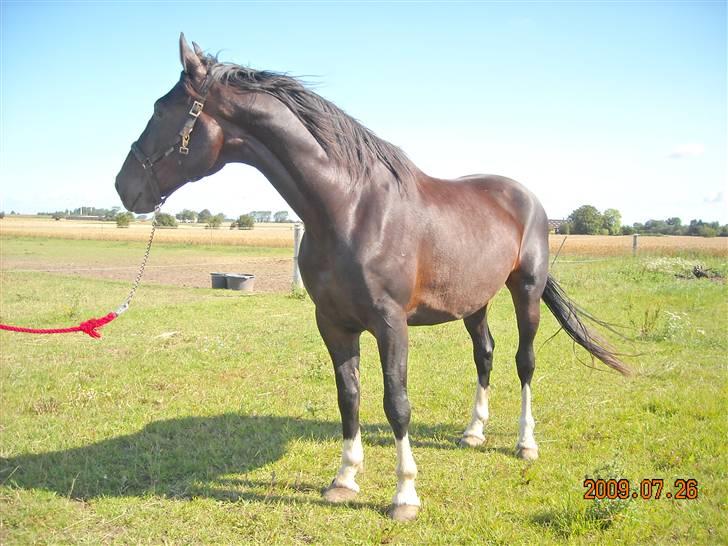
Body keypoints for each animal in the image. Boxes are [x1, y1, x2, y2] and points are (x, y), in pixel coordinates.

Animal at [116, 34, 628, 520]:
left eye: (160, 109)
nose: (124, 187)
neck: (351, 208)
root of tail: (529, 199)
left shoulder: (390, 324)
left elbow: (396, 403)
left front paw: (405, 495)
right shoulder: (333, 323)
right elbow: (350, 397)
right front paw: (344, 480)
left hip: (526, 291)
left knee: (525, 362)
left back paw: (525, 443)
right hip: (473, 302)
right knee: (485, 356)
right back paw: (472, 432)